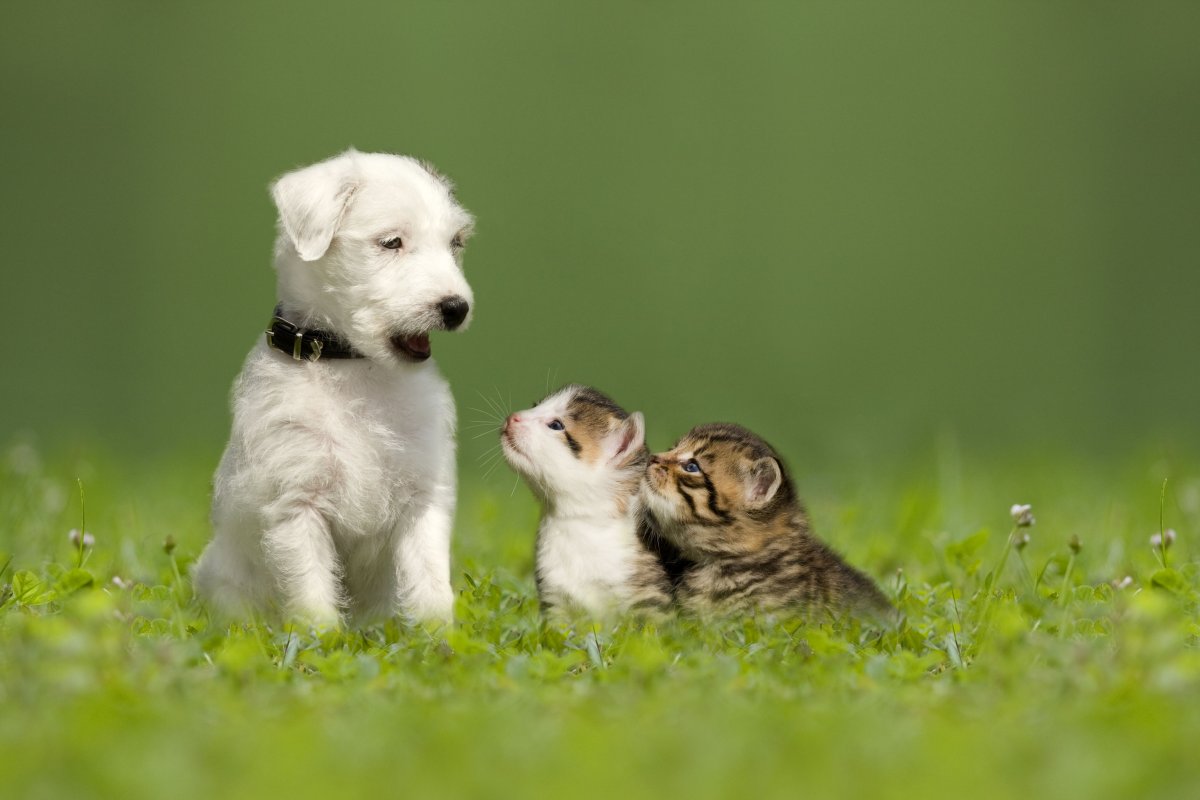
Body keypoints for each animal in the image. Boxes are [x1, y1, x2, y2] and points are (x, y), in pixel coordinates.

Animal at [194, 148, 470, 623]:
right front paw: (318, 637)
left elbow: (430, 581)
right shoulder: (297, 502)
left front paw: (441, 635)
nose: (456, 307)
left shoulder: (423, 497)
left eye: (455, 243)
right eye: (391, 242)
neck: (354, 368)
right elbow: (311, 590)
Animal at [499, 383, 676, 618]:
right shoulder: (553, 598)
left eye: (556, 425)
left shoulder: (651, 597)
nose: (512, 418)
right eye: (535, 405)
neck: (578, 522)